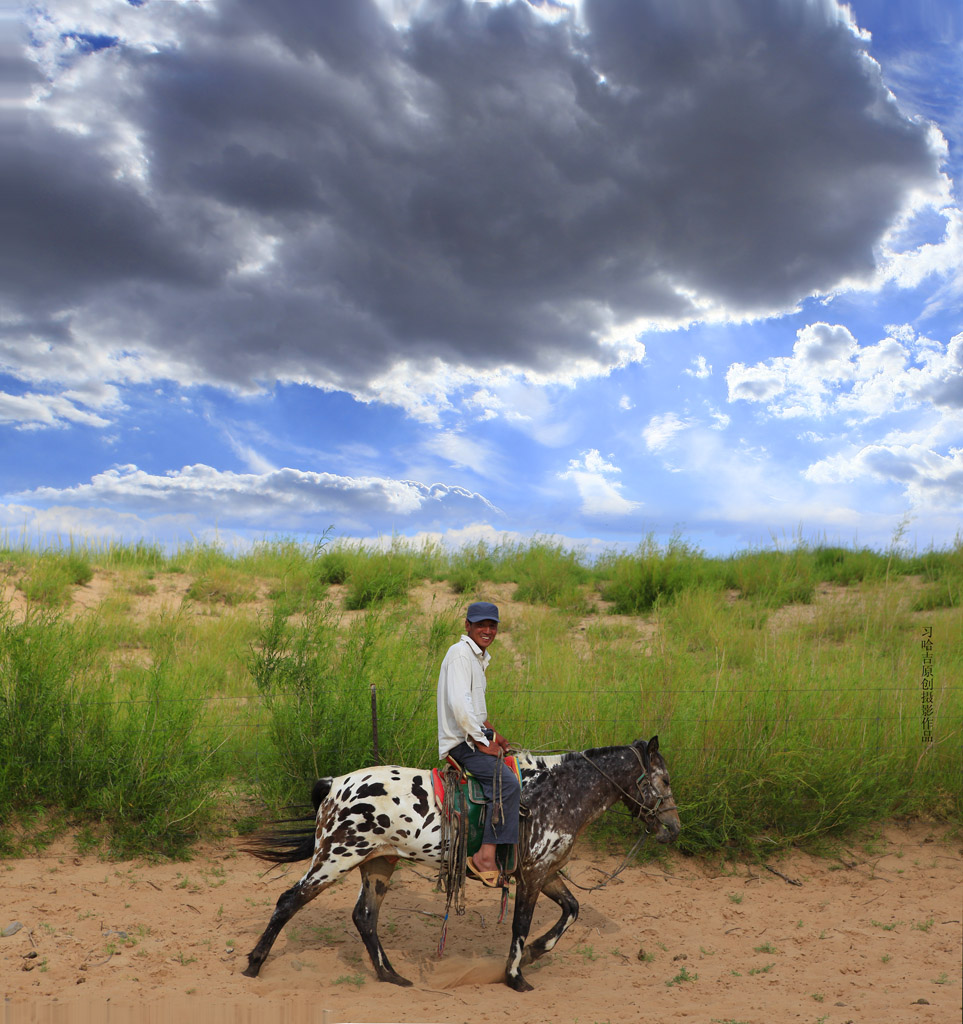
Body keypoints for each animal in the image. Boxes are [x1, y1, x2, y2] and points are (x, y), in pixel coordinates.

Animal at [239, 737, 676, 991]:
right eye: (666, 780)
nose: (673, 828)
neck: (557, 792)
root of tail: (335, 784)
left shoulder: (545, 872)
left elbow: (572, 910)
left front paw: (535, 953)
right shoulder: (533, 875)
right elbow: (521, 925)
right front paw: (515, 976)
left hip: (379, 864)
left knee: (364, 917)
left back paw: (390, 975)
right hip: (336, 857)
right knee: (289, 901)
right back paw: (254, 965)